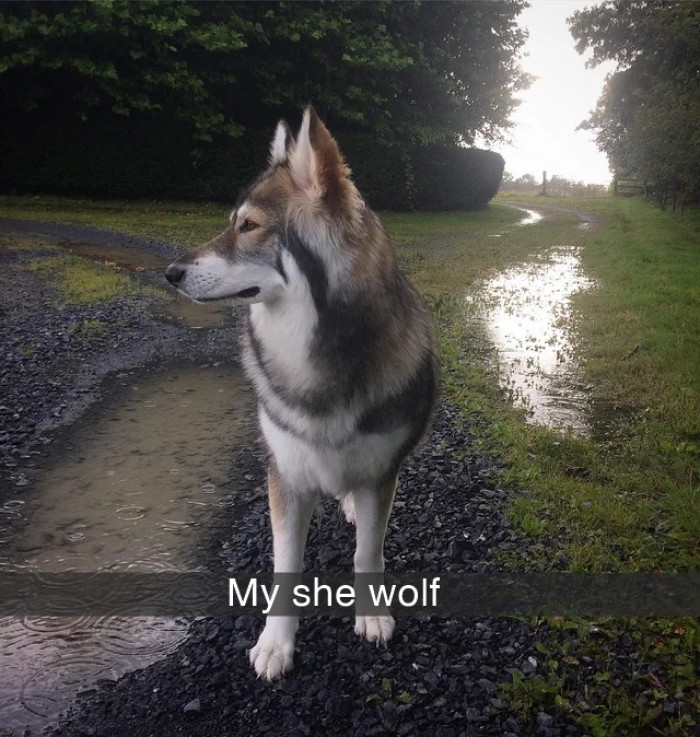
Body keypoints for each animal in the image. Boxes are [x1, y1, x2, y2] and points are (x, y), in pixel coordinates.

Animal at [165, 108, 436, 680]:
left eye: (248, 225)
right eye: (233, 222)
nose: (170, 273)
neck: (315, 355)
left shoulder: (381, 471)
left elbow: (368, 551)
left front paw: (371, 613)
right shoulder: (286, 475)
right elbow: (286, 565)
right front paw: (276, 643)